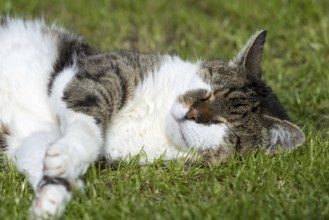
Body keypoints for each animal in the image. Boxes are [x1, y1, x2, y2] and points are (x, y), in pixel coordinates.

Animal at [0, 17, 302, 218]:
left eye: (231, 130)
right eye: (209, 92)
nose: (193, 113)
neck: (156, 118)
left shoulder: (32, 136)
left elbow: (38, 153)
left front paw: (51, 197)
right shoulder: (96, 72)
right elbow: (87, 126)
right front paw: (64, 163)